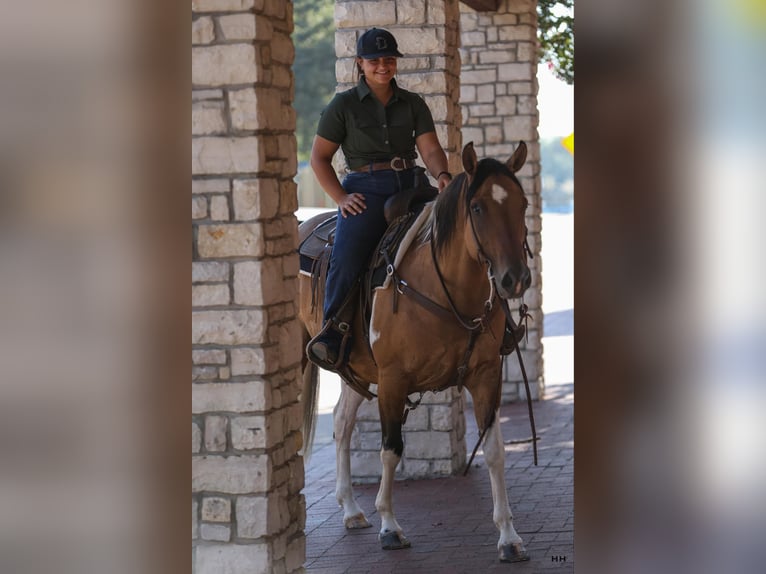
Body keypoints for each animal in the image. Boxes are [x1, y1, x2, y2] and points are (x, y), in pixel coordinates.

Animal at [298, 141, 532, 562]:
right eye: (477, 208)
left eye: (522, 204)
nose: (515, 279)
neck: (446, 290)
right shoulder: (393, 381)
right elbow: (391, 450)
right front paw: (390, 527)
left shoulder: (486, 376)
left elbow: (494, 450)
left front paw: (509, 536)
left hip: (357, 371)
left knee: (342, 422)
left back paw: (351, 509)